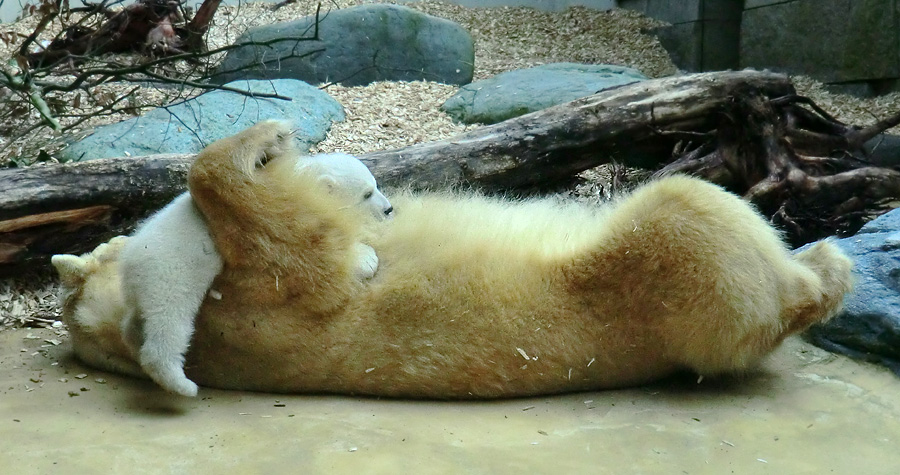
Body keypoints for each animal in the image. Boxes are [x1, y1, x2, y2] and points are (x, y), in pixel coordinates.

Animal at [54, 122, 852, 398]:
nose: (386, 211)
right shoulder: (259, 311)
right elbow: (305, 255)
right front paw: (271, 139)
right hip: (668, 275)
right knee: (690, 212)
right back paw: (823, 262)